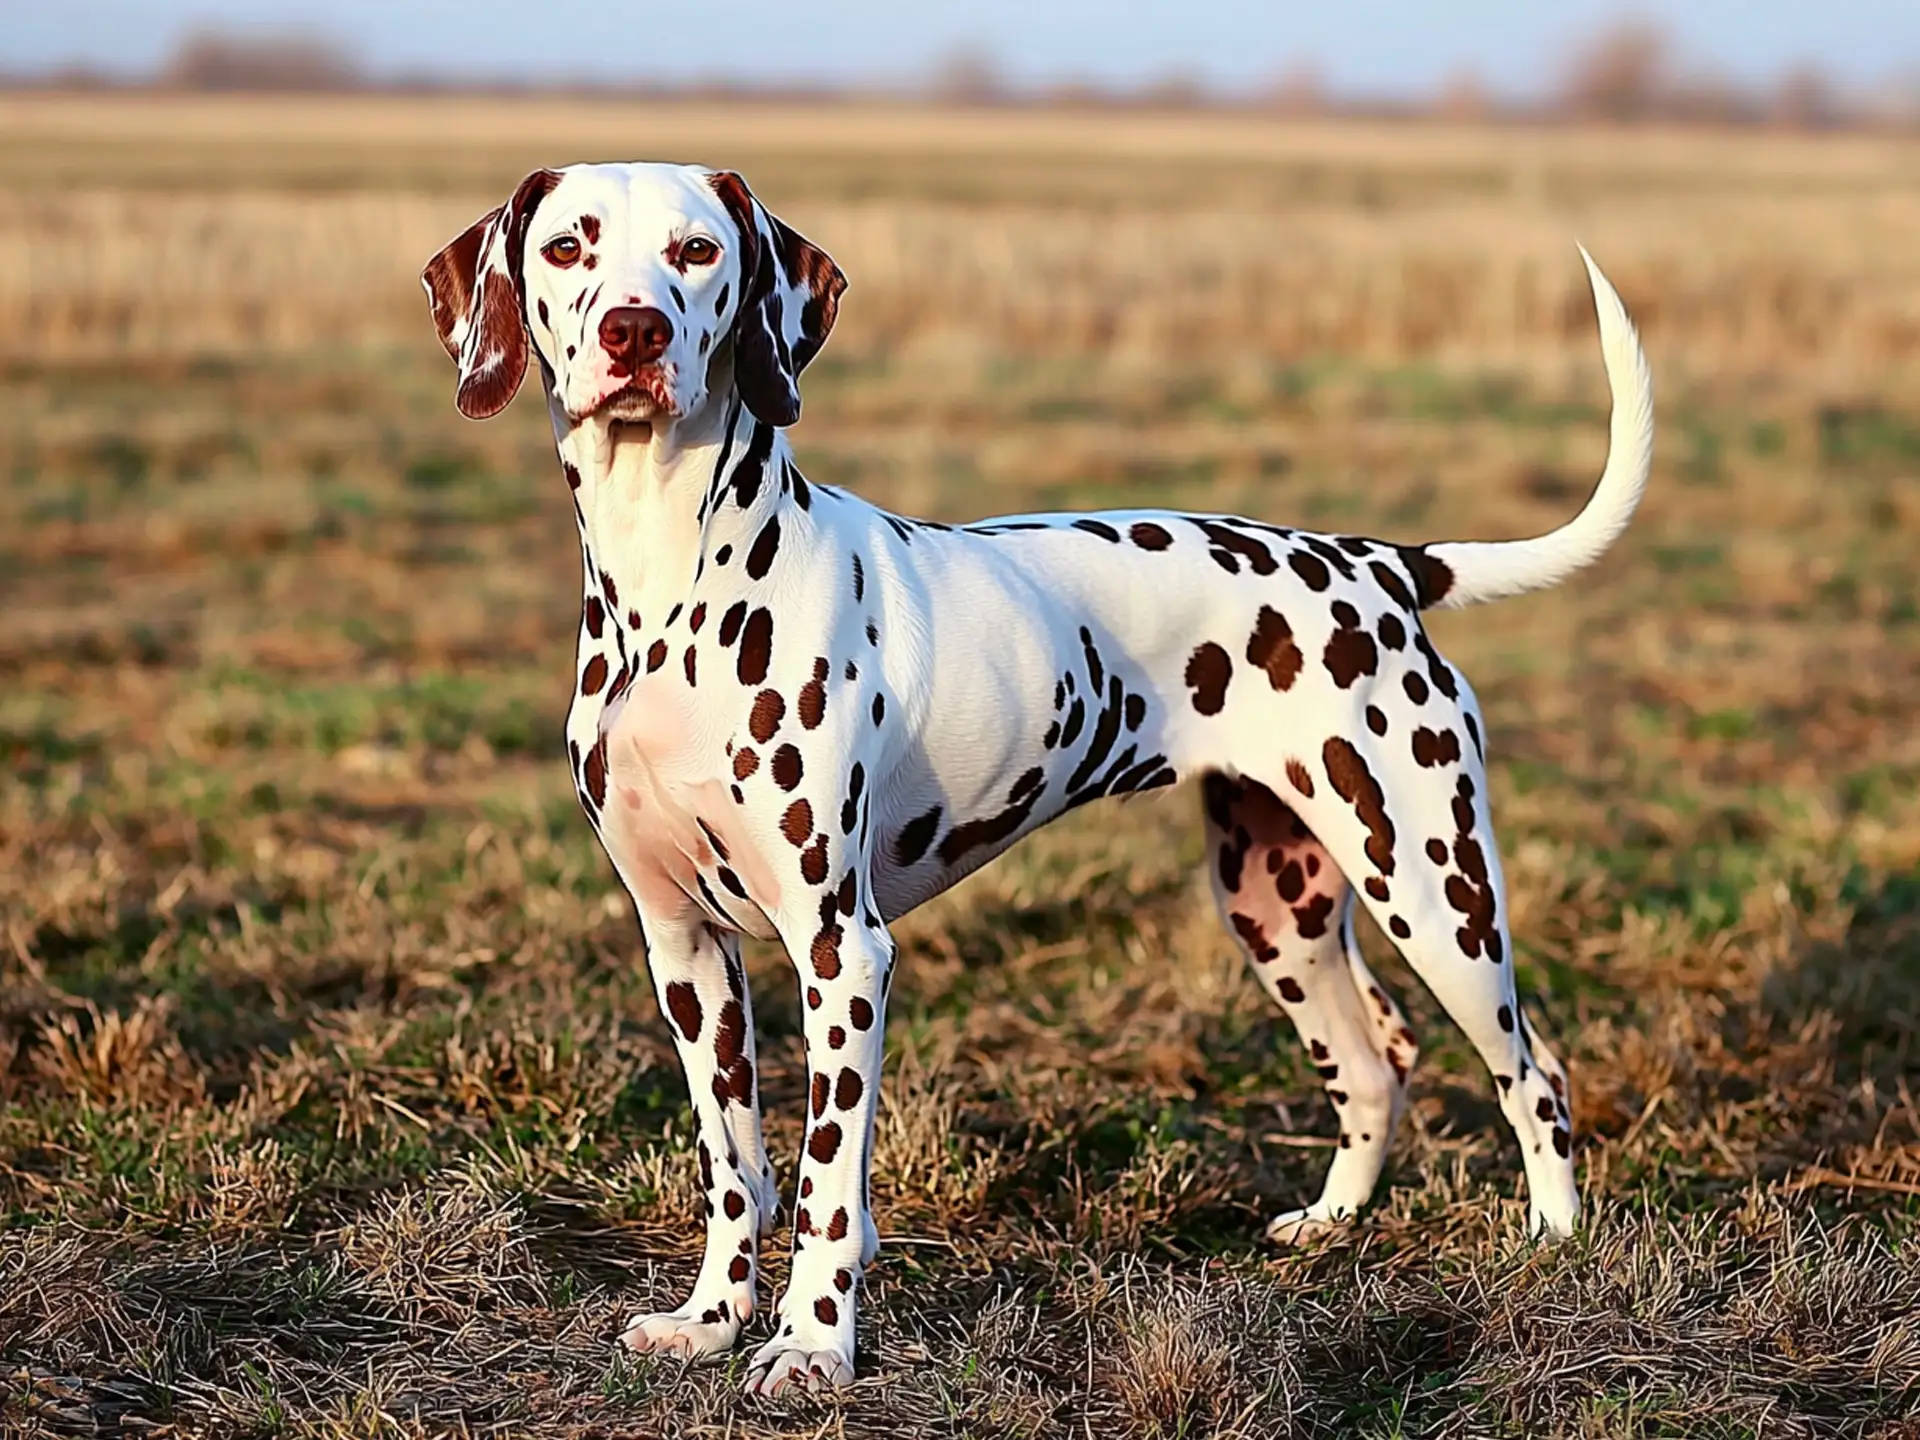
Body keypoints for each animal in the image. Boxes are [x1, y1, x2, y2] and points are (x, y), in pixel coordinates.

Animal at [420, 160, 1651, 1397]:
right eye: (569, 245)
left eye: (697, 250)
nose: (634, 331)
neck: (670, 588)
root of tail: (1380, 566)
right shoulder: (684, 949)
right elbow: (736, 1171)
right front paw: (714, 1320)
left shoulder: (843, 954)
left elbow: (823, 1187)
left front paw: (813, 1345)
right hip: (1279, 905)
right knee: (1372, 1064)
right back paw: (1334, 1222)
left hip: (1438, 894)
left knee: (1533, 1076)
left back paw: (1553, 1245)